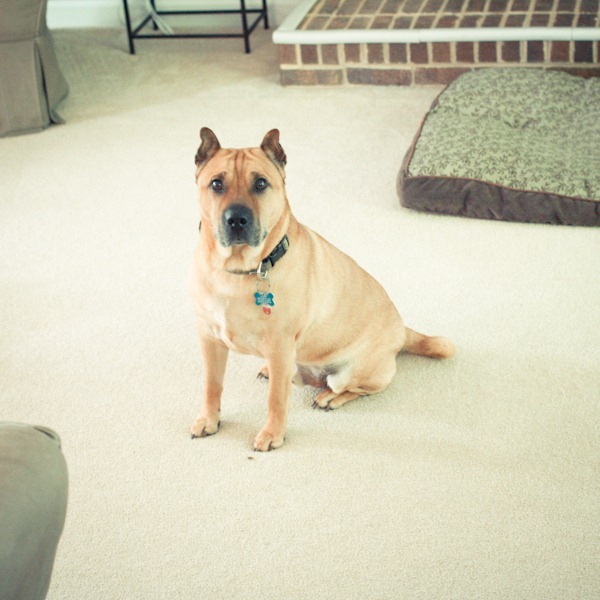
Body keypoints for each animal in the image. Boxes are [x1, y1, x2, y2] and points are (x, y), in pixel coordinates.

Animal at [189, 128, 455, 451]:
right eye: (216, 184)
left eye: (260, 183)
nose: (237, 219)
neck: (239, 271)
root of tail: (402, 331)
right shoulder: (209, 339)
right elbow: (211, 386)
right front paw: (209, 419)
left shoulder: (279, 345)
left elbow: (276, 400)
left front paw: (272, 434)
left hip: (349, 373)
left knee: (355, 389)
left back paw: (330, 397)